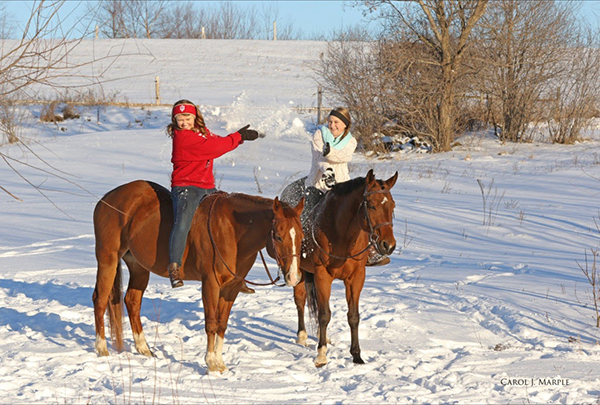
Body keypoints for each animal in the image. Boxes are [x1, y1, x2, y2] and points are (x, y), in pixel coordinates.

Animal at [92, 180, 304, 372]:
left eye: (301, 237)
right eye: (278, 236)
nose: (294, 277)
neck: (231, 230)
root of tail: (106, 198)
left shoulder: (231, 288)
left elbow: (222, 324)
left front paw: (220, 362)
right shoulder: (210, 283)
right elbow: (211, 323)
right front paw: (211, 363)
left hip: (139, 267)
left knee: (132, 301)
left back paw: (144, 349)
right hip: (108, 259)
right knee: (100, 299)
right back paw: (102, 348)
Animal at [290, 169, 398, 368]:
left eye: (392, 206)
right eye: (371, 205)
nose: (389, 245)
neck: (341, 234)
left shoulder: (356, 278)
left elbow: (353, 316)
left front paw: (356, 355)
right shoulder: (322, 275)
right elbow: (324, 314)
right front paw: (321, 355)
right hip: (298, 272)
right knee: (300, 300)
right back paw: (302, 337)